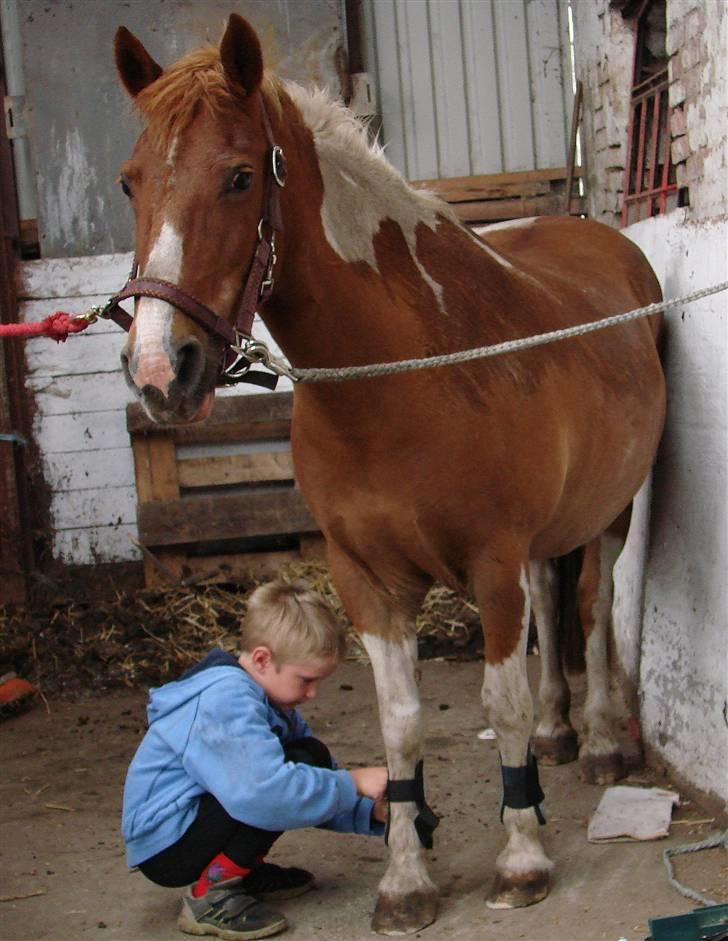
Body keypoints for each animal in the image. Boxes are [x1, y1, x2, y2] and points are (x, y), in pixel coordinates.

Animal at [109, 14, 664, 932]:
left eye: (237, 176)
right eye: (129, 182)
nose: (161, 370)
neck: (404, 372)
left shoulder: (489, 563)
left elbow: (500, 702)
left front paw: (521, 858)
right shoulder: (364, 576)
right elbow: (400, 722)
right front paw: (406, 877)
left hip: (609, 510)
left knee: (591, 603)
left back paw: (601, 740)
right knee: (555, 602)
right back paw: (559, 731)